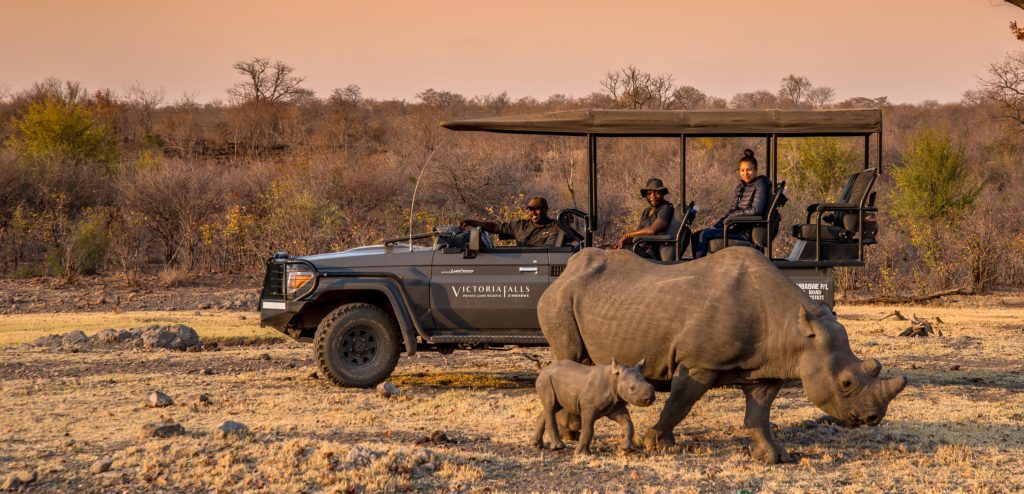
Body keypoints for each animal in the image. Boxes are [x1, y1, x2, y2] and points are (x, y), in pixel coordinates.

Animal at [536, 247, 905, 463]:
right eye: (845, 383)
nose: (872, 419)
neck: (795, 328)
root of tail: (565, 272)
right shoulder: (699, 362)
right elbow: (681, 403)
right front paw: (656, 443)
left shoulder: (766, 367)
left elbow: (759, 413)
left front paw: (773, 456)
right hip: (558, 301)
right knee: (569, 353)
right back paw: (570, 434)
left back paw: (571, 432)